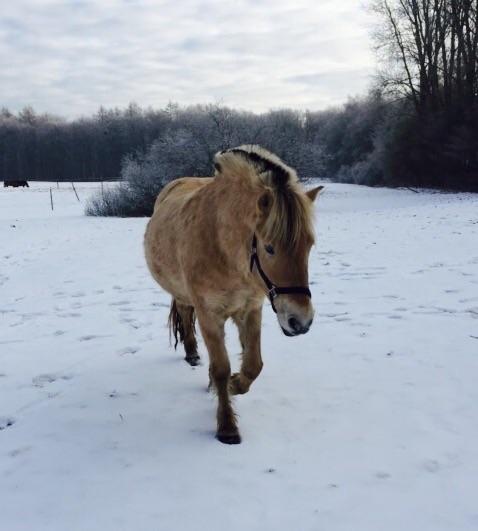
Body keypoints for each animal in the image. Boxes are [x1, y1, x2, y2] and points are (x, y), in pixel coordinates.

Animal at [144, 145, 324, 444]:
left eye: (309, 245)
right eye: (269, 247)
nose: (301, 321)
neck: (222, 244)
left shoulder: (250, 309)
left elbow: (253, 365)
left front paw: (234, 384)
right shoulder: (209, 315)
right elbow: (221, 368)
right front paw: (227, 426)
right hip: (184, 296)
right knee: (184, 313)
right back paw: (192, 354)